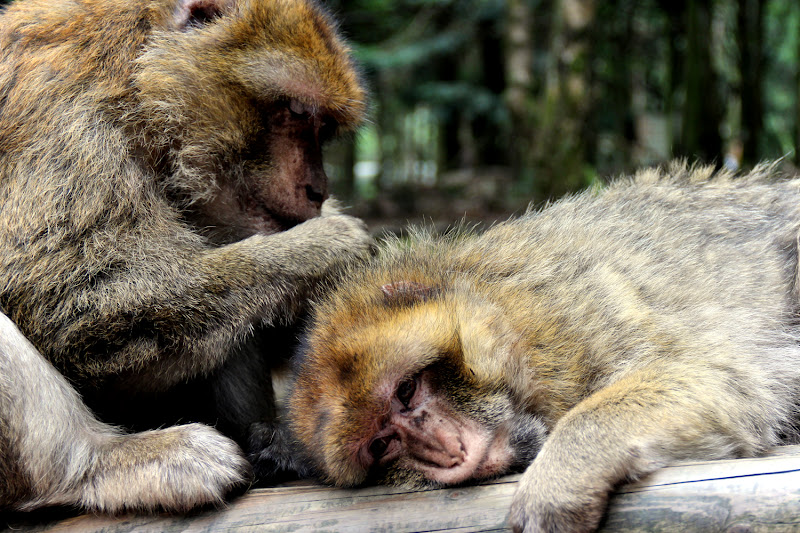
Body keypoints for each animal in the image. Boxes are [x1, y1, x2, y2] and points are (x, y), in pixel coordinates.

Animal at [0, 0, 368, 512]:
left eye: (323, 127)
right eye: (294, 112)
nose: (318, 190)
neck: (136, 86)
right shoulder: (65, 126)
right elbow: (69, 303)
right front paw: (328, 247)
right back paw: (104, 463)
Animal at [290, 163, 800, 532]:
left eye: (406, 390)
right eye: (381, 445)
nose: (446, 452)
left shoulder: (571, 318)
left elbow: (721, 376)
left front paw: (559, 478)